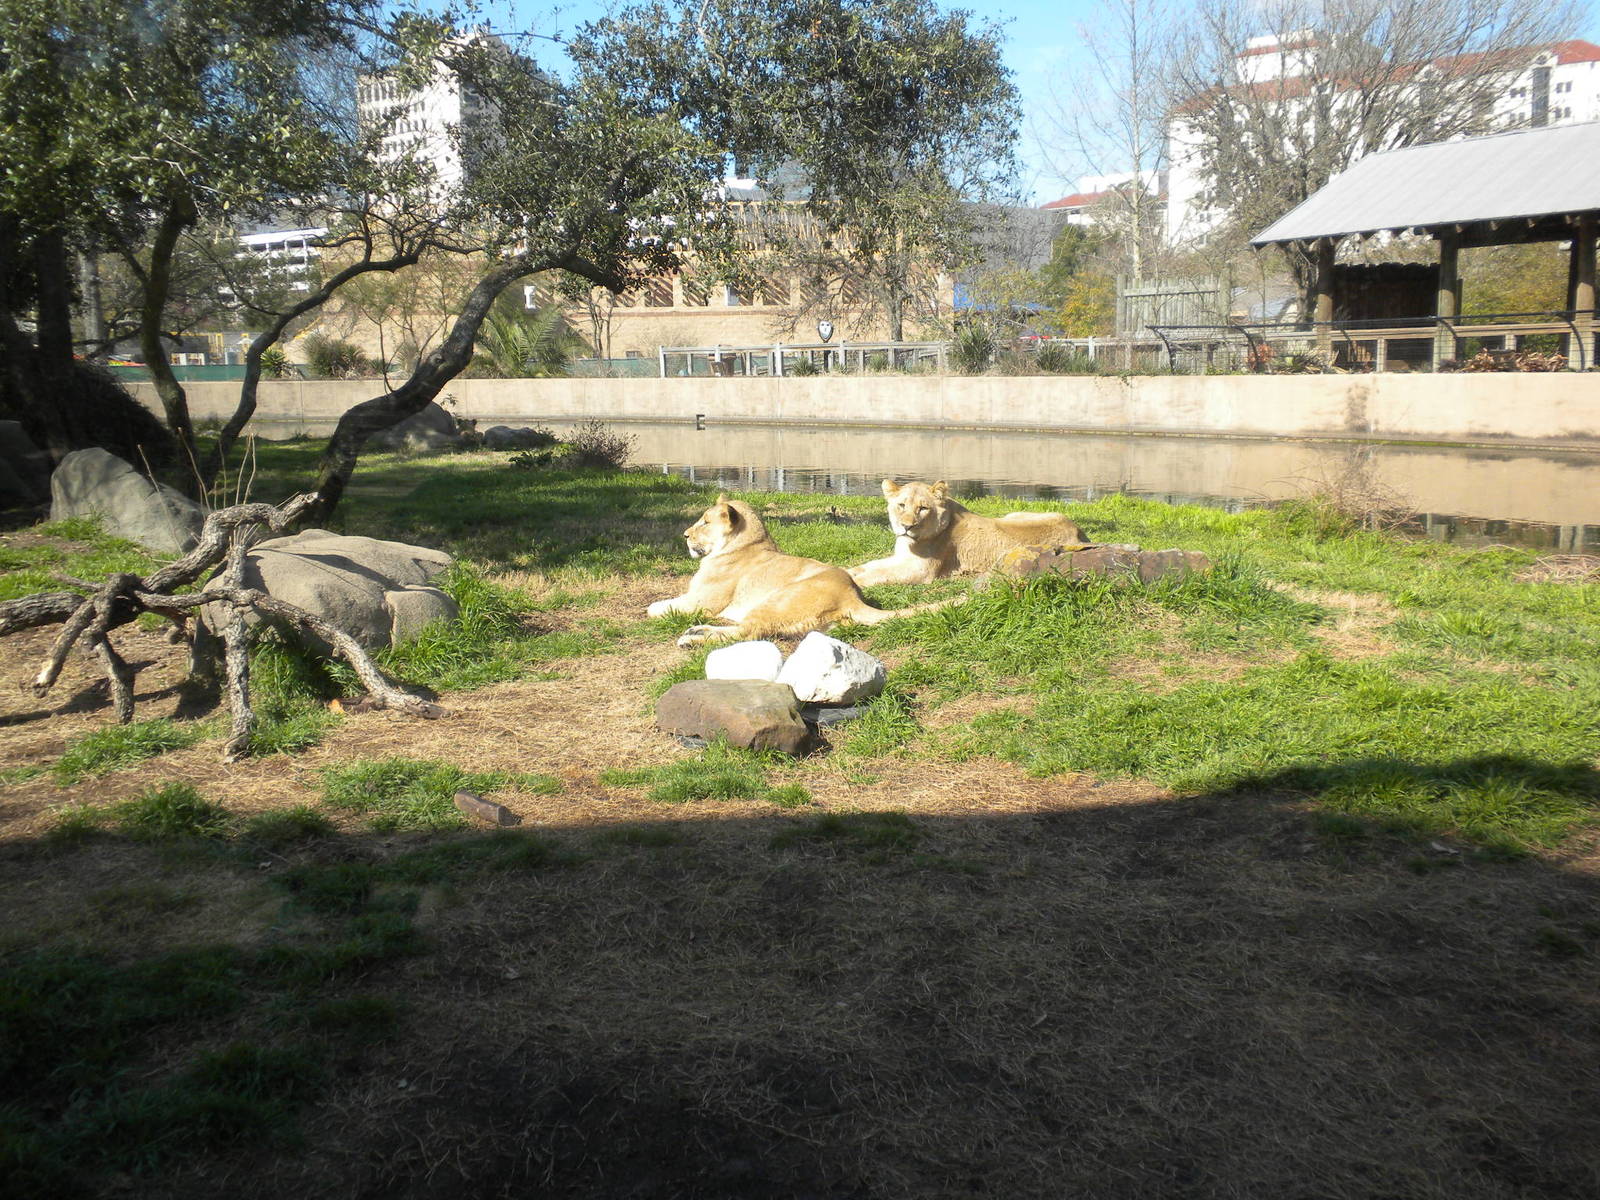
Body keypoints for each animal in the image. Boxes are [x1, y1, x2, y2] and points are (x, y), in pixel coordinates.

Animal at [648, 496, 962, 647]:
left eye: (704, 522)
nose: (685, 535)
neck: (747, 541)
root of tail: (851, 596)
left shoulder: (702, 601)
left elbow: (659, 607)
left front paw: (654, 609)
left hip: (776, 599)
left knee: (748, 632)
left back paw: (690, 639)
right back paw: (695, 630)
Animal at [849, 479, 1086, 587]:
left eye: (923, 508)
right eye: (901, 505)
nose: (906, 526)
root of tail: (1079, 531)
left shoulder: (921, 571)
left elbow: (880, 574)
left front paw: (855, 581)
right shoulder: (901, 558)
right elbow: (871, 565)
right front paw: (849, 571)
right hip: (1013, 514)